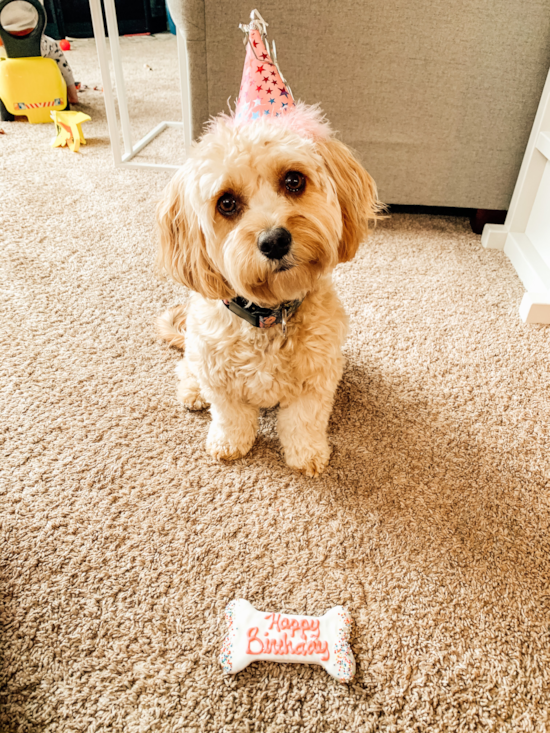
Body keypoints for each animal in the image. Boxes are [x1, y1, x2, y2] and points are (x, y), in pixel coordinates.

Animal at [155, 104, 380, 480]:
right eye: (226, 203)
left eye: (293, 180)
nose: (274, 241)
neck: (268, 315)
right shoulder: (219, 378)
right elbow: (230, 417)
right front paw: (229, 443)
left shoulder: (316, 379)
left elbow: (303, 423)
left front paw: (307, 454)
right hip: (196, 352)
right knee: (185, 368)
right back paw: (192, 392)